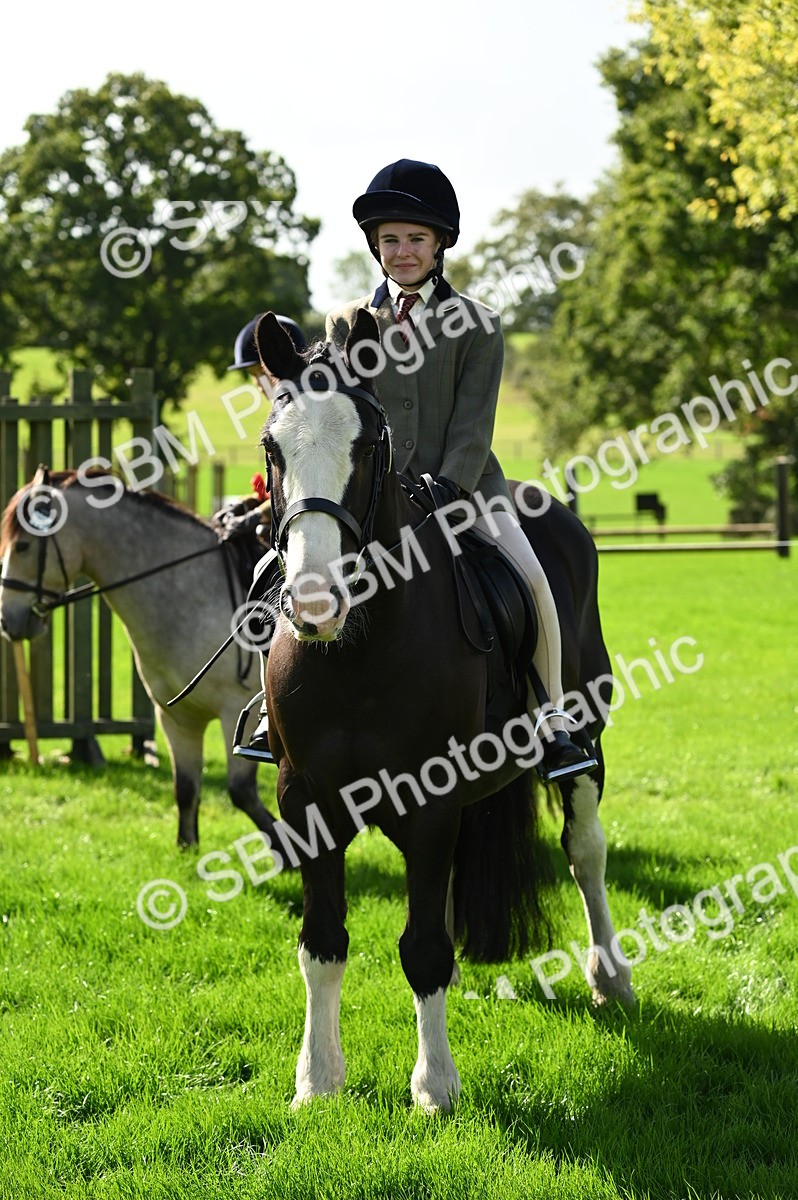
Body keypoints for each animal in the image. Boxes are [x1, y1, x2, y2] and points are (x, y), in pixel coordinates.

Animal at [0, 470, 277, 847]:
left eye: (23, 546)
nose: (7, 620)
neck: (190, 598)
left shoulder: (236, 711)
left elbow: (242, 792)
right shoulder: (175, 718)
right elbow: (185, 788)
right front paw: (187, 847)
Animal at [252, 310, 635, 1113]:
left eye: (370, 444)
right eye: (274, 447)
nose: (313, 604)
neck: (358, 651)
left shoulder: (429, 799)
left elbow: (421, 947)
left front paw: (434, 1087)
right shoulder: (305, 803)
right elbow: (321, 943)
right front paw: (318, 1080)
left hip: (587, 739)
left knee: (585, 852)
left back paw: (610, 978)